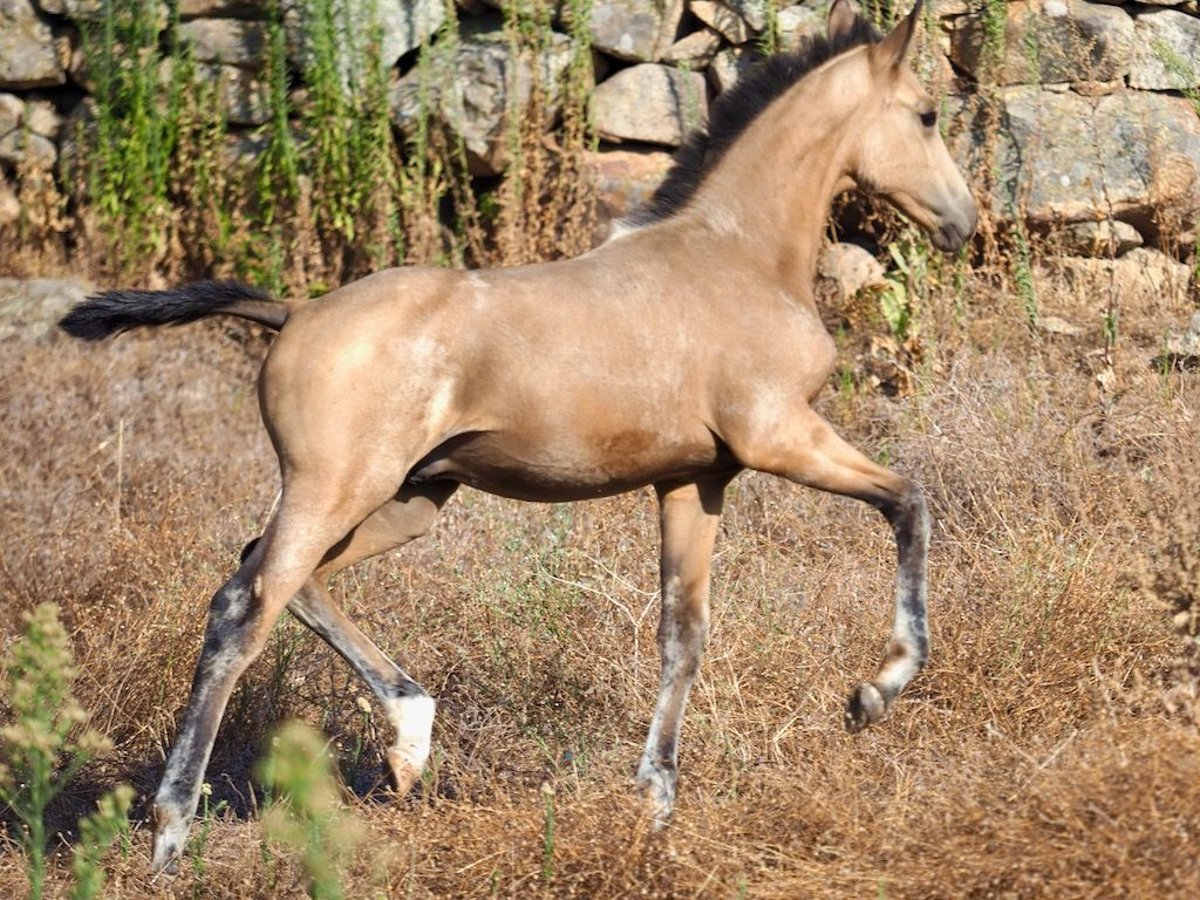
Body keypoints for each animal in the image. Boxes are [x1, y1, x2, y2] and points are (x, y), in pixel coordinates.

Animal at [60, 0, 974, 873]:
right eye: (928, 114)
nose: (962, 222)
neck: (737, 257)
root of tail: (293, 312)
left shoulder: (695, 480)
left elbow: (682, 636)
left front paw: (655, 807)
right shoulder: (781, 436)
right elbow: (910, 502)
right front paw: (874, 693)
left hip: (410, 498)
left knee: (277, 575)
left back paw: (410, 741)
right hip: (336, 488)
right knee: (243, 608)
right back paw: (173, 832)